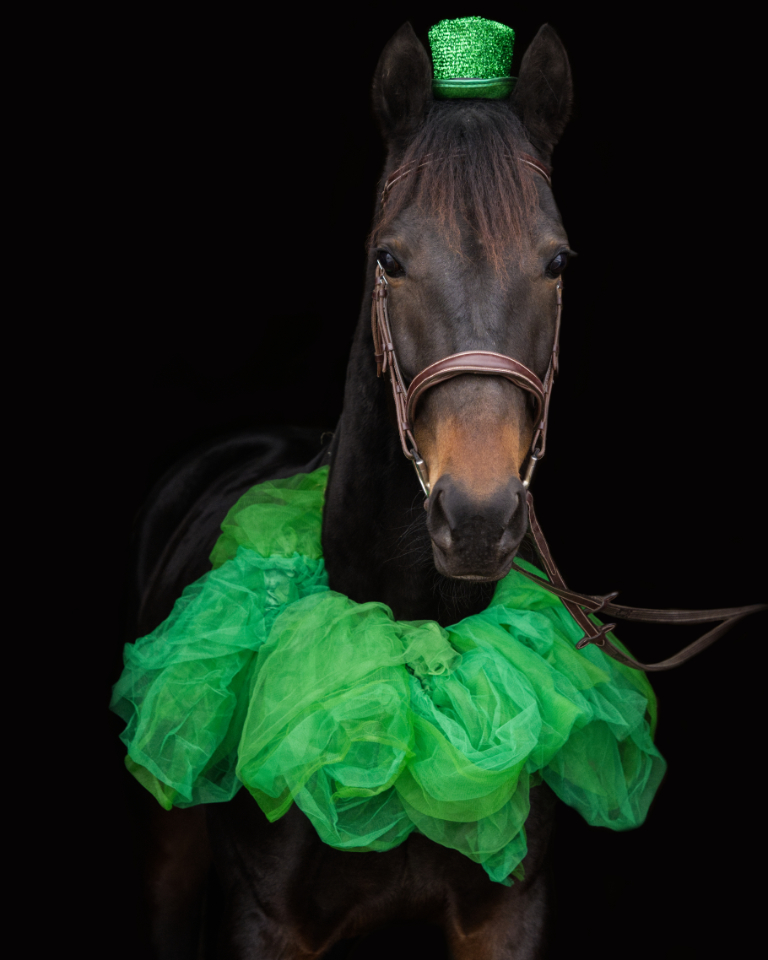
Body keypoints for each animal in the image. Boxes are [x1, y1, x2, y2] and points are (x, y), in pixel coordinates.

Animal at [121, 21, 763, 960]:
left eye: (558, 261)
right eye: (389, 258)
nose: (478, 515)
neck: (412, 644)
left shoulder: (506, 919)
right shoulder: (263, 923)